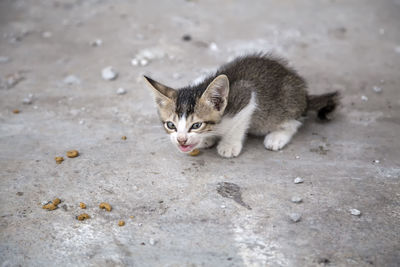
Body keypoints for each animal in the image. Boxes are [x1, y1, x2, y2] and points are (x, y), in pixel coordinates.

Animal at [144, 54, 338, 159]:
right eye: (171, 125)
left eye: (196, 125)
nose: (181, 140)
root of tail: (305, 96)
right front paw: (207, 140)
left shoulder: (246, 97)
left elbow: (237, 125)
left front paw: (229, 145)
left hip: (287, 102)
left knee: (294, 121)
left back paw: (277, 137)